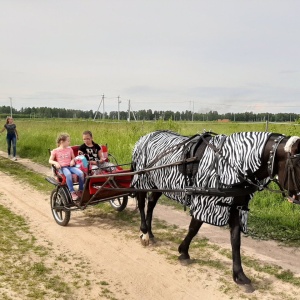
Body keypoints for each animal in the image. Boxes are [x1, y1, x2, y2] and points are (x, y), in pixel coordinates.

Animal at [131, 130, 300, 288]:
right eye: (298, 165)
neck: (231, 163)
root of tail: (143, 138)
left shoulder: (235, 207)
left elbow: (235, 240)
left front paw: (239, 275)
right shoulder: (205, 201)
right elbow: (194, 228)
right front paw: (183, 252)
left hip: (157, 184)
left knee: (151, 204)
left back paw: (150, 233)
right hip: (143, 179)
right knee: (142, 204)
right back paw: (144, 233)